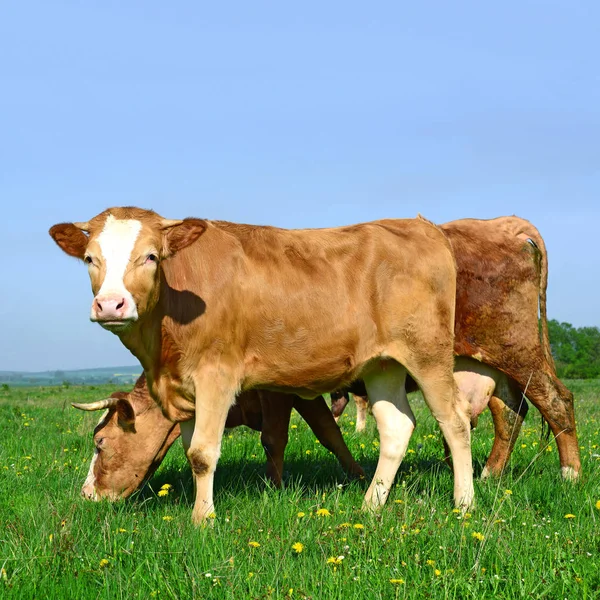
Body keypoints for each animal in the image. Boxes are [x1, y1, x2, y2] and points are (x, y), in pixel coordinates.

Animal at [72, 372, 364, 500]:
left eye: (100, 442)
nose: (86, 493)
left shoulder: (278, 391)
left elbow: (273, 439)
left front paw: (274, 490)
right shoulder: (304, 395)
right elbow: (329, 432)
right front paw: (359, 476)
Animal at [330, 218, 580, 480]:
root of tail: (500, 224)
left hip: (517, 352)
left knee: (557, 401)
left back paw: (570, 476)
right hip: (493, 363)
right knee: (511, 411)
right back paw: (489, 475)